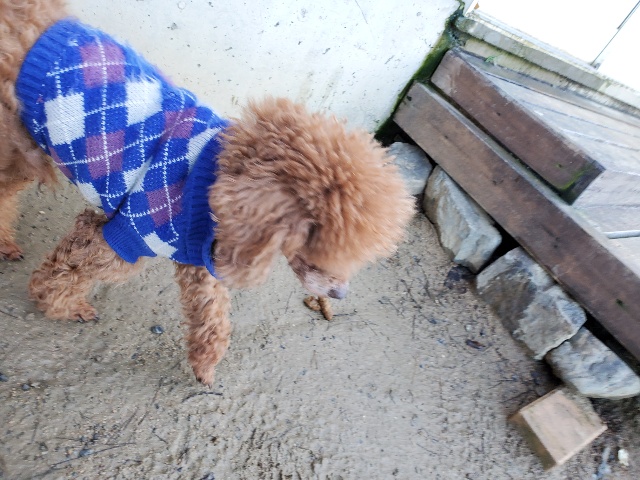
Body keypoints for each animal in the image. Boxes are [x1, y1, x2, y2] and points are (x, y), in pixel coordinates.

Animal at [0, 0, 415, 385]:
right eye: (322, 254)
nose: (341, 295)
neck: (211, 179)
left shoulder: (199, 257)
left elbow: (212, 313)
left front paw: (205, 365)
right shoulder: (121, 237)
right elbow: (65, 271)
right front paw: (59, 306)